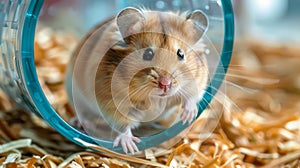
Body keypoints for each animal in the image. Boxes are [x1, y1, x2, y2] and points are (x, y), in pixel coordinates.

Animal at [67, 6, 209, 154]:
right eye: (148, 54)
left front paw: (188, 116)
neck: (155, 98)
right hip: (74, 92)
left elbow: (192, 97)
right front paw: (130, 147)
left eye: (180, 54)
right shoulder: (113, 102)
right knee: (81, 112)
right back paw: (81, 123)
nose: (165, 84)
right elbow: (123, 124)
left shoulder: (199, 82)